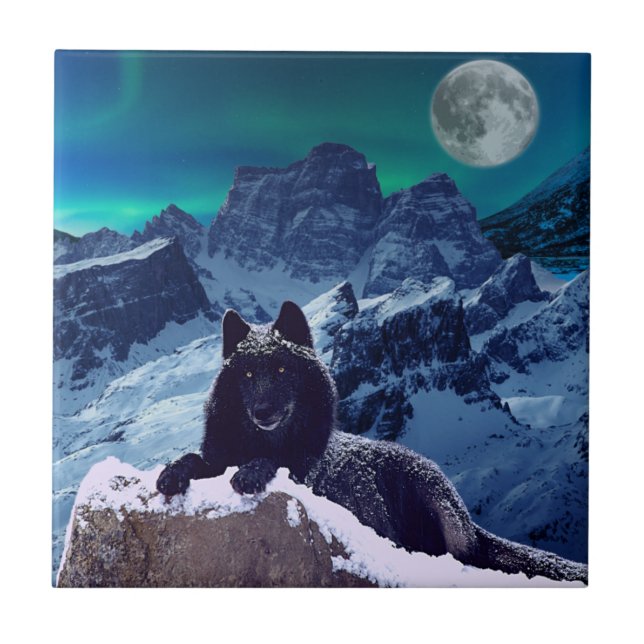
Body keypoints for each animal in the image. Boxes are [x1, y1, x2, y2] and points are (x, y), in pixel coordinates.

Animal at [157, 301, 587, 583]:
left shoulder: (303, 472)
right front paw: (172, 472)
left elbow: (275, 463)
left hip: (427, 487)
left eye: (280, 369)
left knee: (459, 553)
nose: (262, 412)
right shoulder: (218, 456)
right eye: (247, 375)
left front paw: (251, 472)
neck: (264, 441)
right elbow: (195, 459)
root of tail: (471, 522)